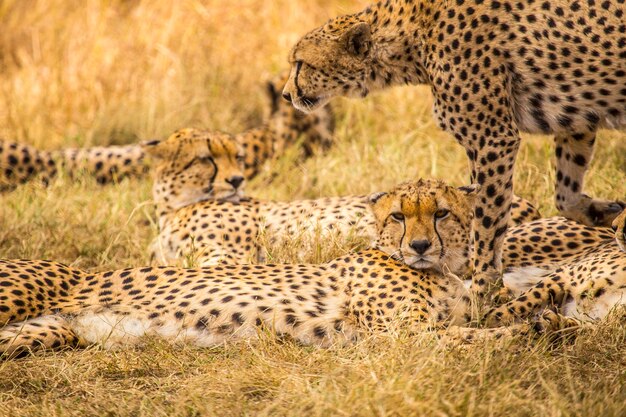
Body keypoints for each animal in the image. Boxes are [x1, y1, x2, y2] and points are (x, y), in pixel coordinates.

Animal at [282, 0, 624, 296]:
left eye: (301, 63)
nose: (286, 95)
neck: (412, 36)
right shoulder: (576, 115)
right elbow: (565, 194)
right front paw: (605, 213)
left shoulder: (493, 138)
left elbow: (485, 221)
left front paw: (483, 288)